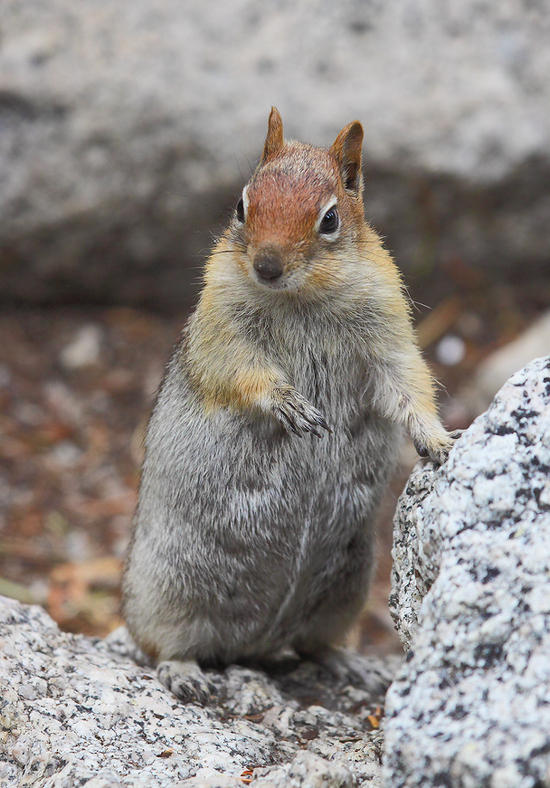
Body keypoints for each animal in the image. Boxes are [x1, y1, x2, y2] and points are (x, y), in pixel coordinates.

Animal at [123, 108, 456, 703]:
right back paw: (185, 672)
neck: (300, 298)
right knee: (163, 643)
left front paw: (436, 439)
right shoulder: (222, 325)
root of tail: (251, 647)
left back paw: (349, 664)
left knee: (312, 643)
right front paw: (291, 405)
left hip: (346, 588)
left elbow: (406, 378)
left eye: (330, 219)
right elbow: (239, 369)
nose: (267, 265)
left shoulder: (387, 325)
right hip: (165, 590)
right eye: (241, 205)